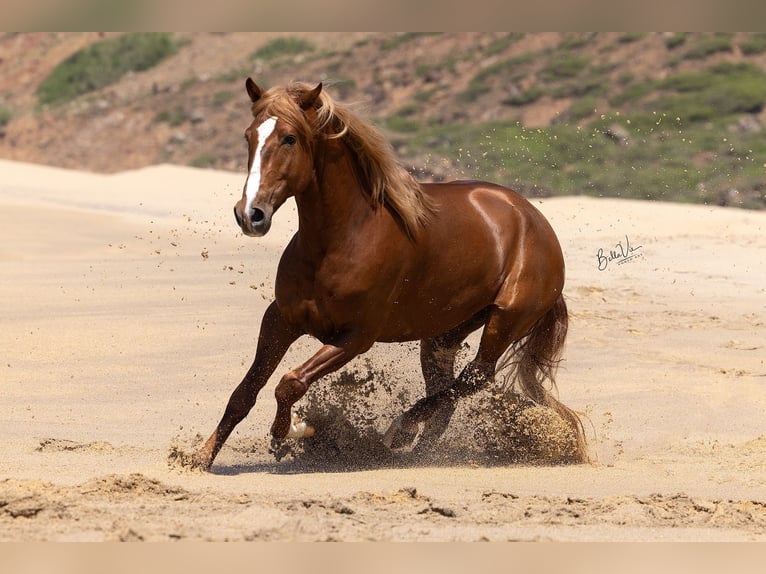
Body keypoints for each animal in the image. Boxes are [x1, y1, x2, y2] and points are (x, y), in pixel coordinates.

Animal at [194, 79, 588, 470]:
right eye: (249, 136)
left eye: (289, 138)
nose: (250, 215)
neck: (341, 239)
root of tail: (535, 221)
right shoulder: (280, 319)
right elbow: (245, 392)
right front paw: (200, 457)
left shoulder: (355, 336)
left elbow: (290, 382)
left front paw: (296, 430)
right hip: (444, 334)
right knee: (447, 394)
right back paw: (416, 451)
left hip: (505, 321)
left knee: (474, 377)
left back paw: (398, 429)